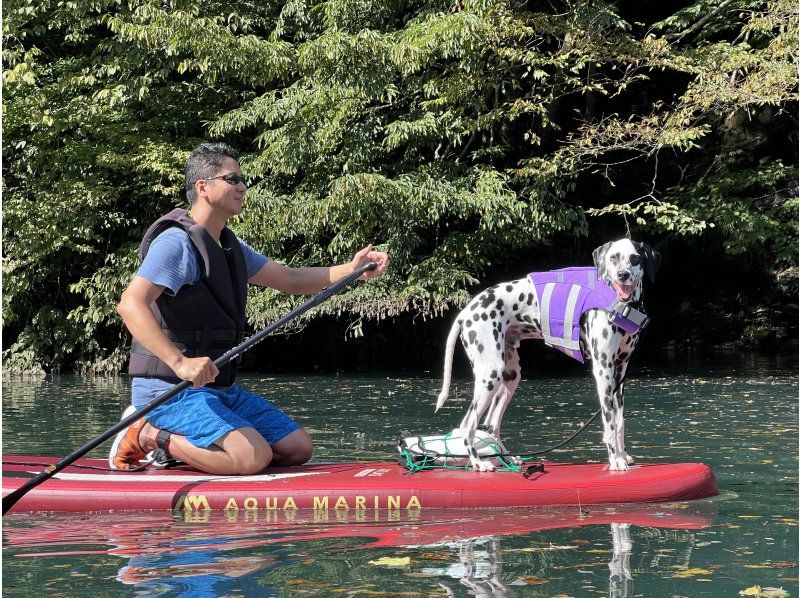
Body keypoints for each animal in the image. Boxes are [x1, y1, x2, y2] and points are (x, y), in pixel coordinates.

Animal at [434, 239, 660, 474]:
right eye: (613, 257)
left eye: (635, 258)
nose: (623, 275)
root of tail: (467, 311)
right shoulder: (604, 371)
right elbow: (609, 421)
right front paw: (615, 460)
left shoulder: (619, 374)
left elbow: (620, 422)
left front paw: (623, 455)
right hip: (490, 375)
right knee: (468, 424)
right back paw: (478, 462)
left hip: (510, 377)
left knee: (492, 425)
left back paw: (507, 458)